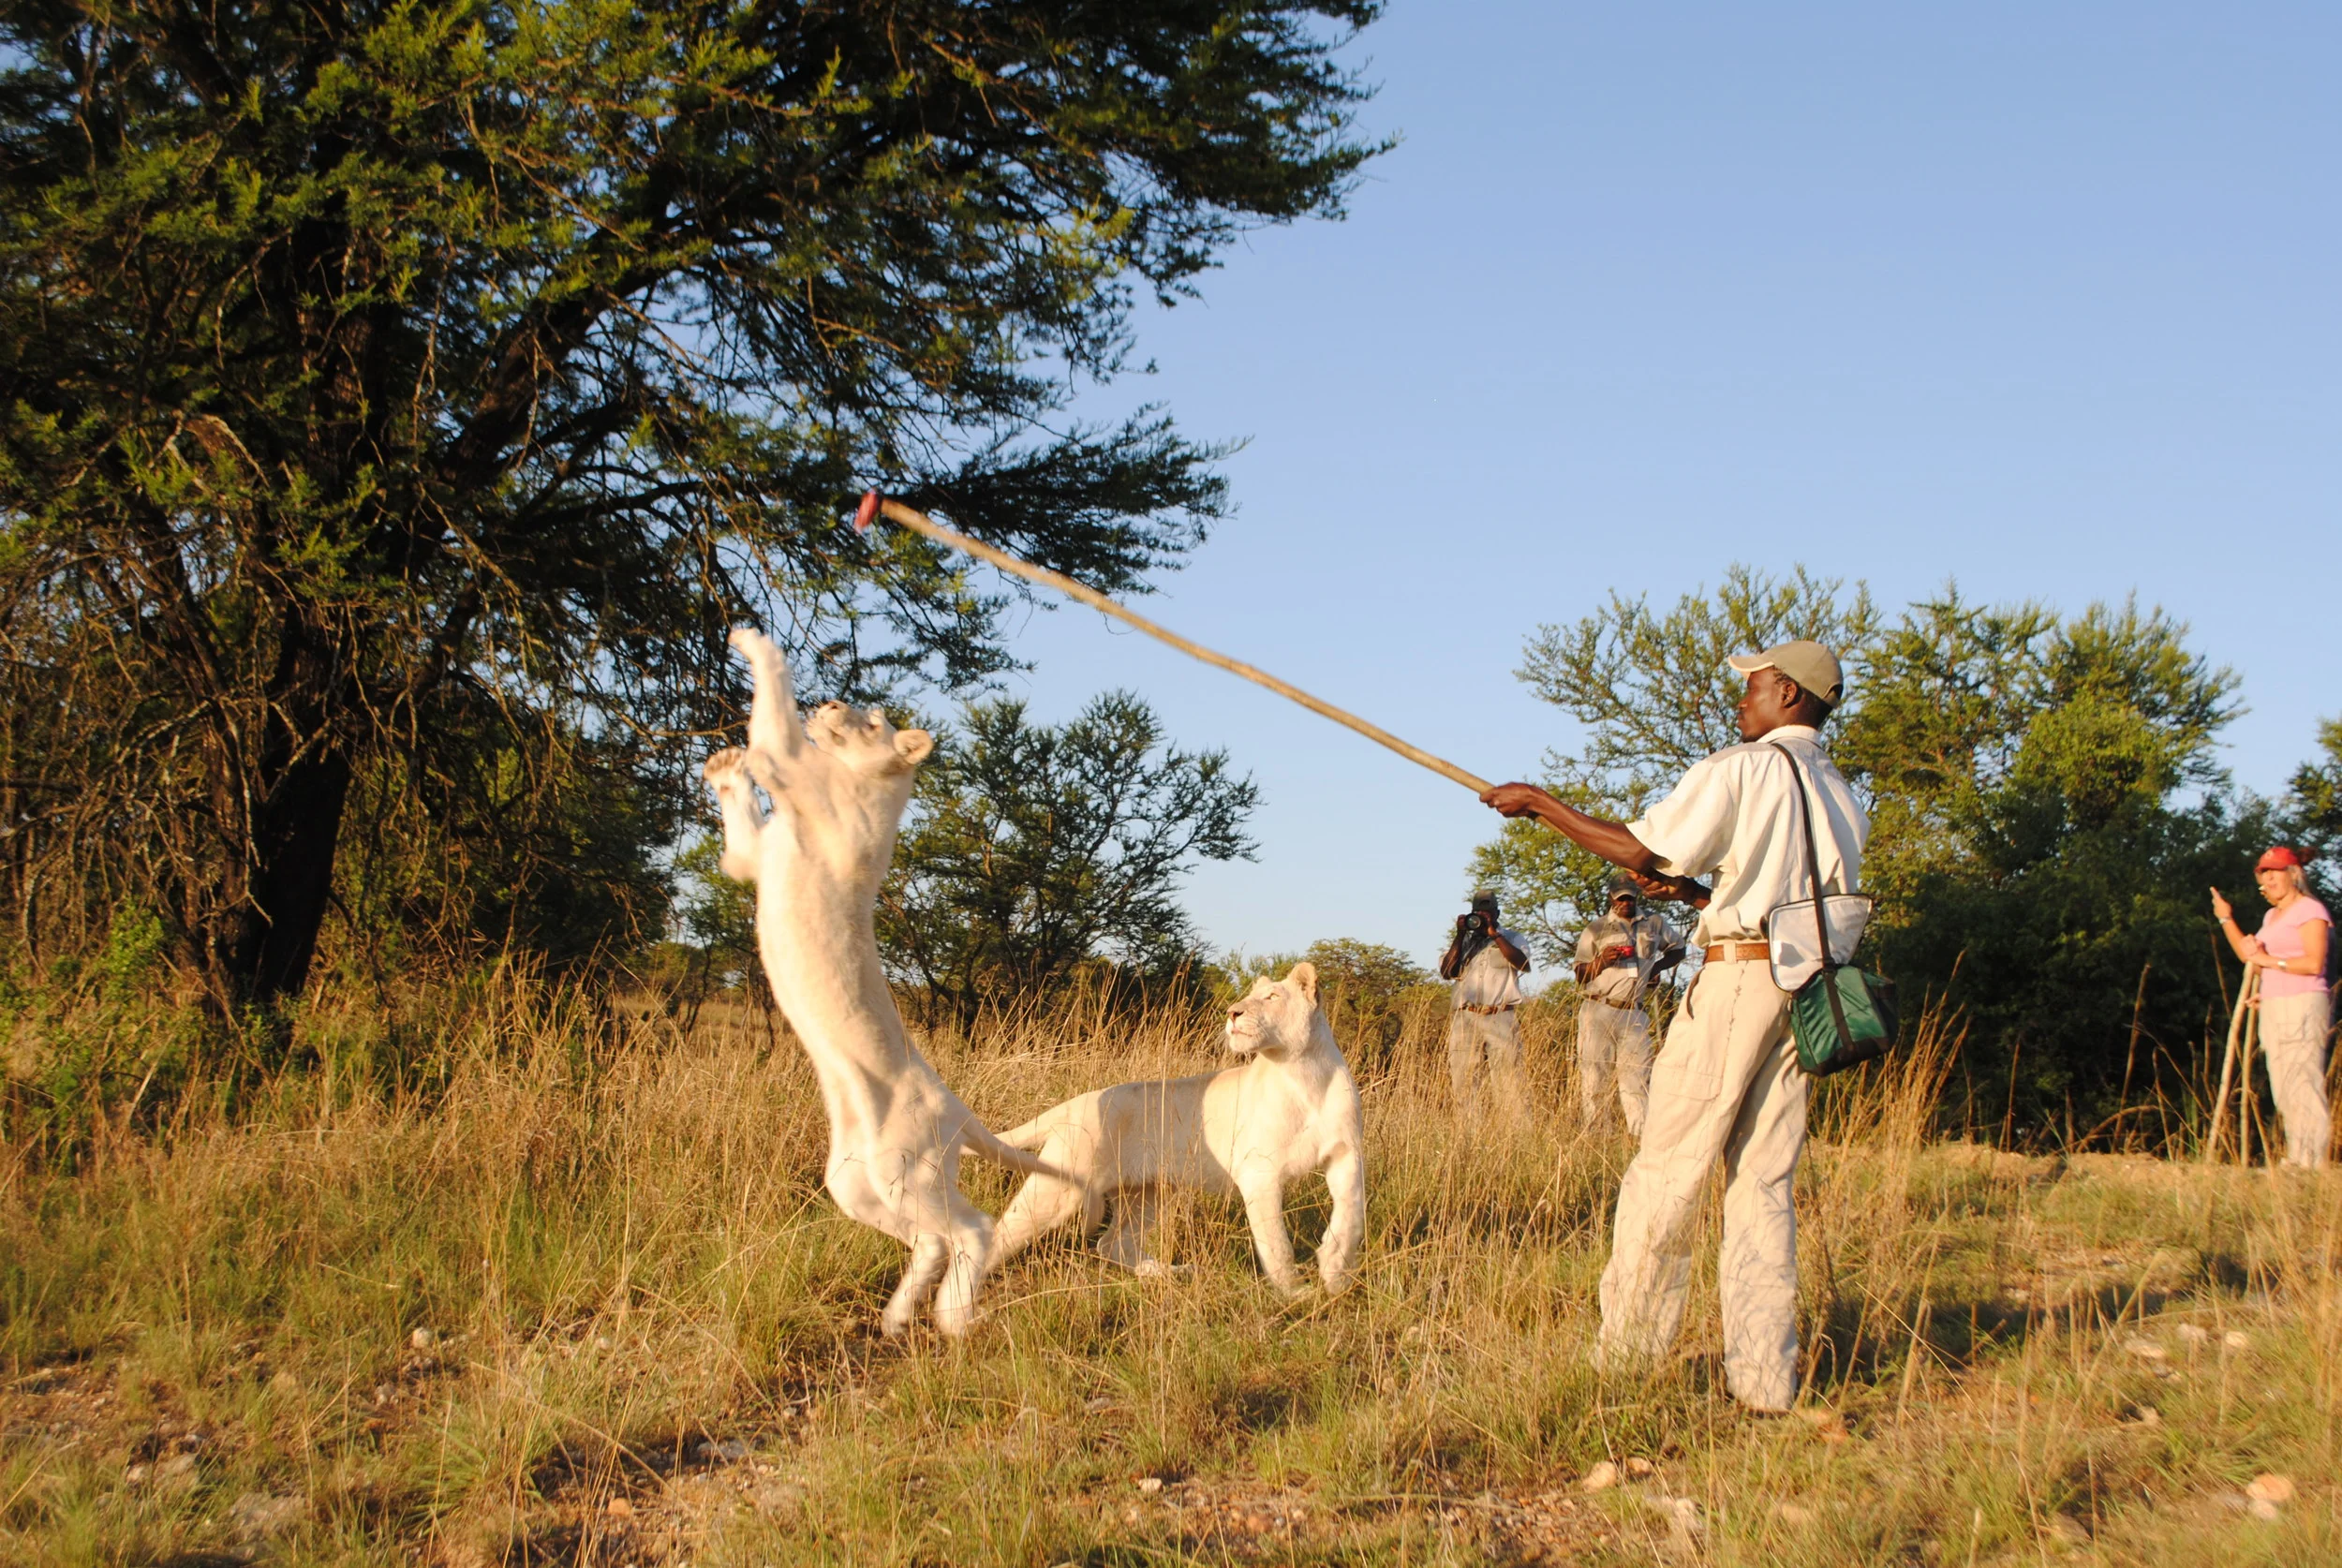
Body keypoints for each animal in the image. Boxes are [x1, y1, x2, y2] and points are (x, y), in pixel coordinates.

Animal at [988, 962, 1366, 1296]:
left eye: (1272, 997)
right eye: (1247, 997)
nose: (1232, 1013)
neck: (1305, 1073)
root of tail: (1075, 1103)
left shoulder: (1346, 1153)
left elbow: (1351, 1214)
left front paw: (1334, 1272)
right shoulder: (1259, 1172)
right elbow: (1276, 1241)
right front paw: (1295, 1292)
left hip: (1146, 1194)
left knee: (1112, 1243)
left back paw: (1169, 1273)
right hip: (1059, 1190)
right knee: (999, 1236)